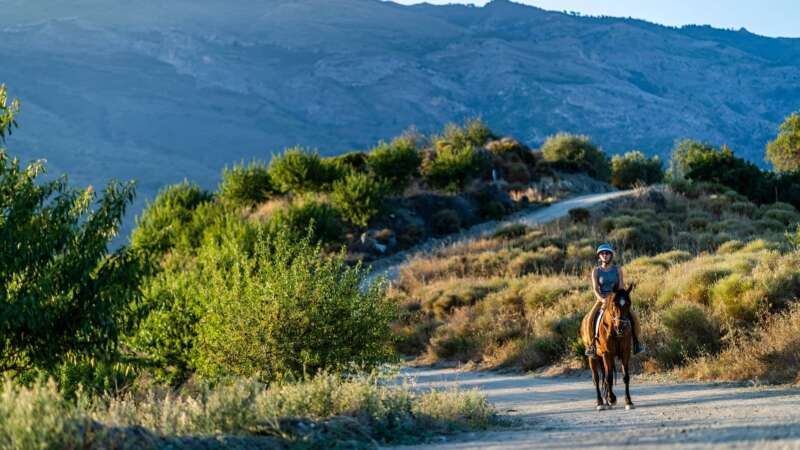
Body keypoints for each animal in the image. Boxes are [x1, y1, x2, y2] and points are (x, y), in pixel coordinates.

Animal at [580, 284, 636, 412]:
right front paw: (612, 398)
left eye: (628, 304)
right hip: (593, 357)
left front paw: (628, 401)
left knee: (604, 376)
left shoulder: (625, 353)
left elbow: (625, 376)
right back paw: (600, 402)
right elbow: (609, 377)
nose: (621, 327)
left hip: (601, 357)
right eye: (614, 304)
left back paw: (605, 402)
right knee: (596, 378)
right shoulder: (607, 354)